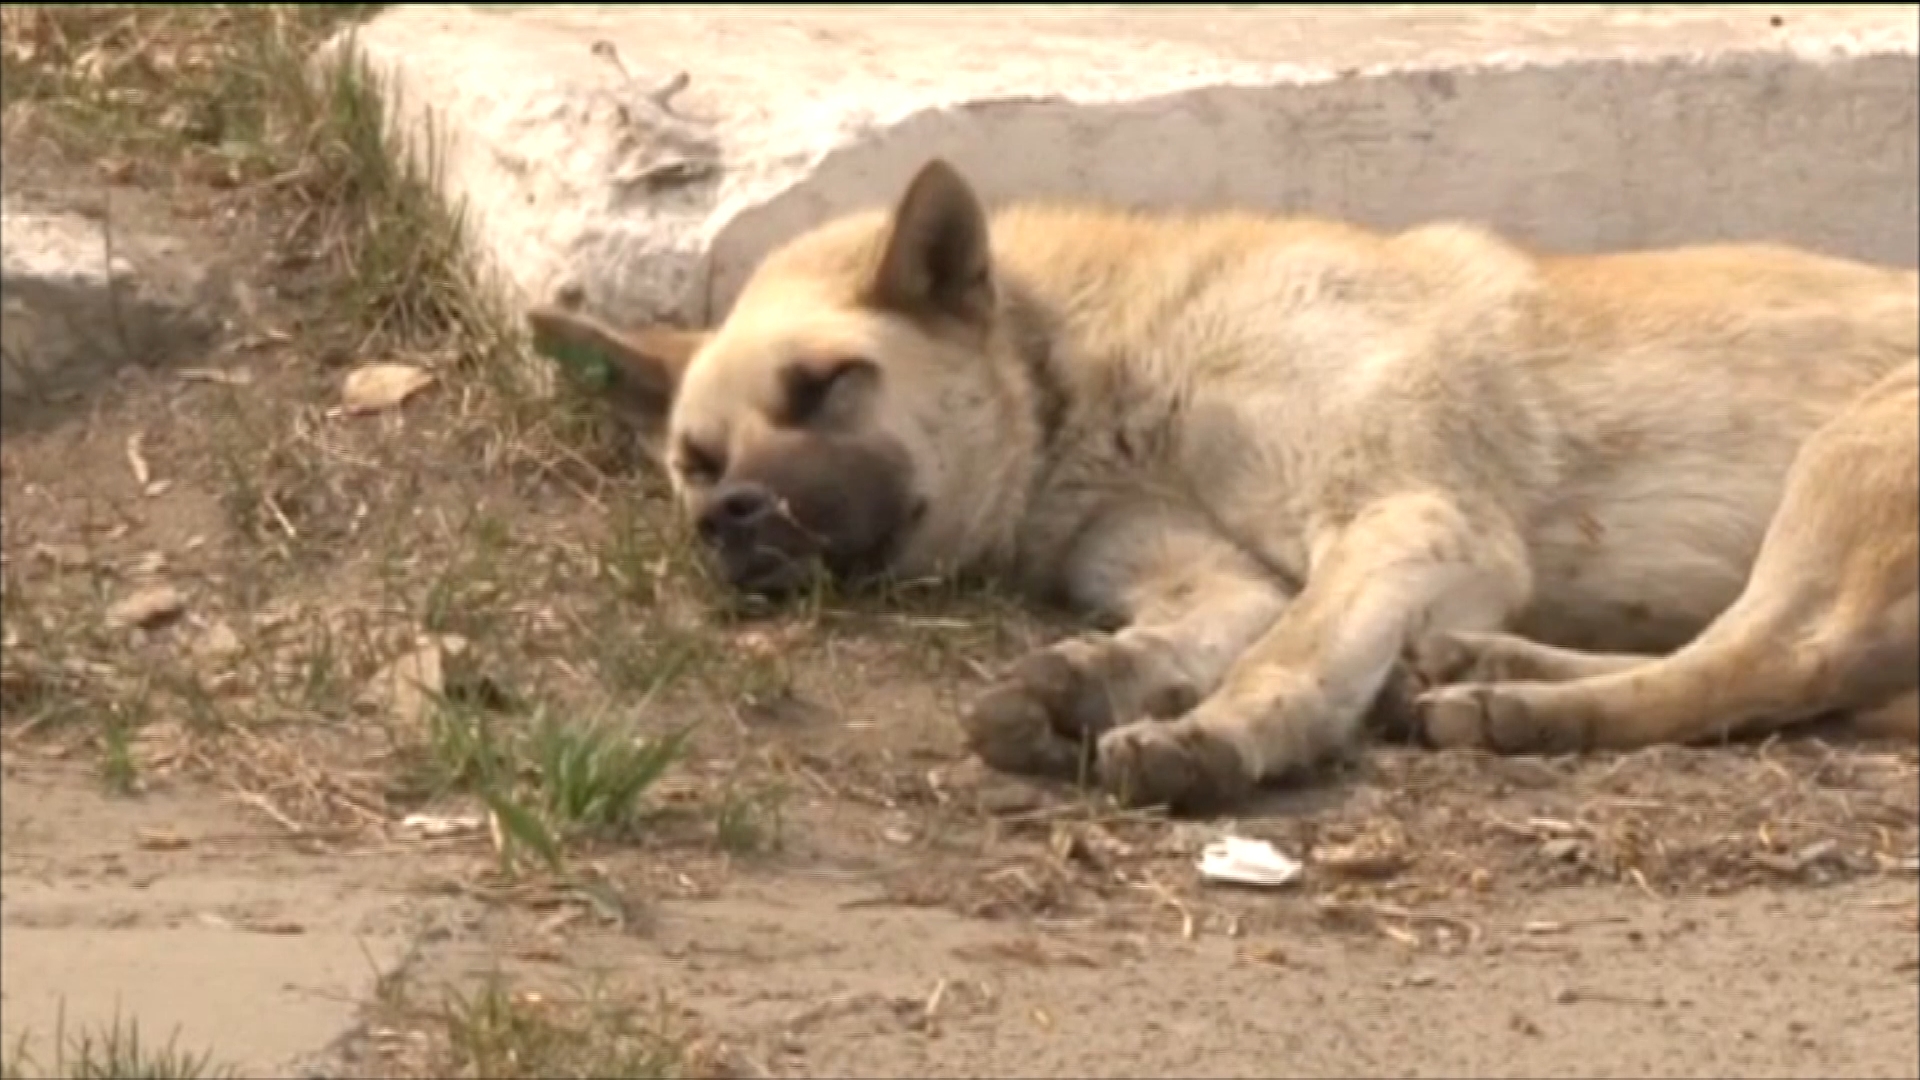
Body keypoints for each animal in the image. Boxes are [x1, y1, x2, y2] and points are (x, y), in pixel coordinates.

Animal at [526, 159, 1920, 810]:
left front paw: (1219, 736)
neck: (1108, 367)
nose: (727, 519)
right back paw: (1492, 676)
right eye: (695, 464)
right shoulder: (1216, 567)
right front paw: (1082, 682)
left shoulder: (1411, 521)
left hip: (1842, 462)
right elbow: (1203, 628)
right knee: (1764, 664)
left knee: (1775, 658)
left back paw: (1527, 708)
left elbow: (1288, 657)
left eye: (827, 386)